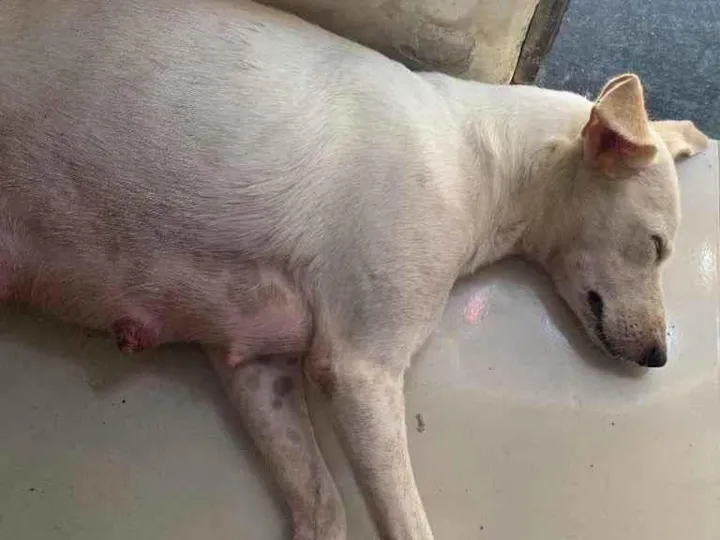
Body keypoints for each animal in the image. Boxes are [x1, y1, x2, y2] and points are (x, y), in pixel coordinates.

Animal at [0, 0, 709, 538]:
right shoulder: (359, 370)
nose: (657, 358)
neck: (475, 157)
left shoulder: (259, 368)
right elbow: (407, 523)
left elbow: (323, 508)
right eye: (655, 246)